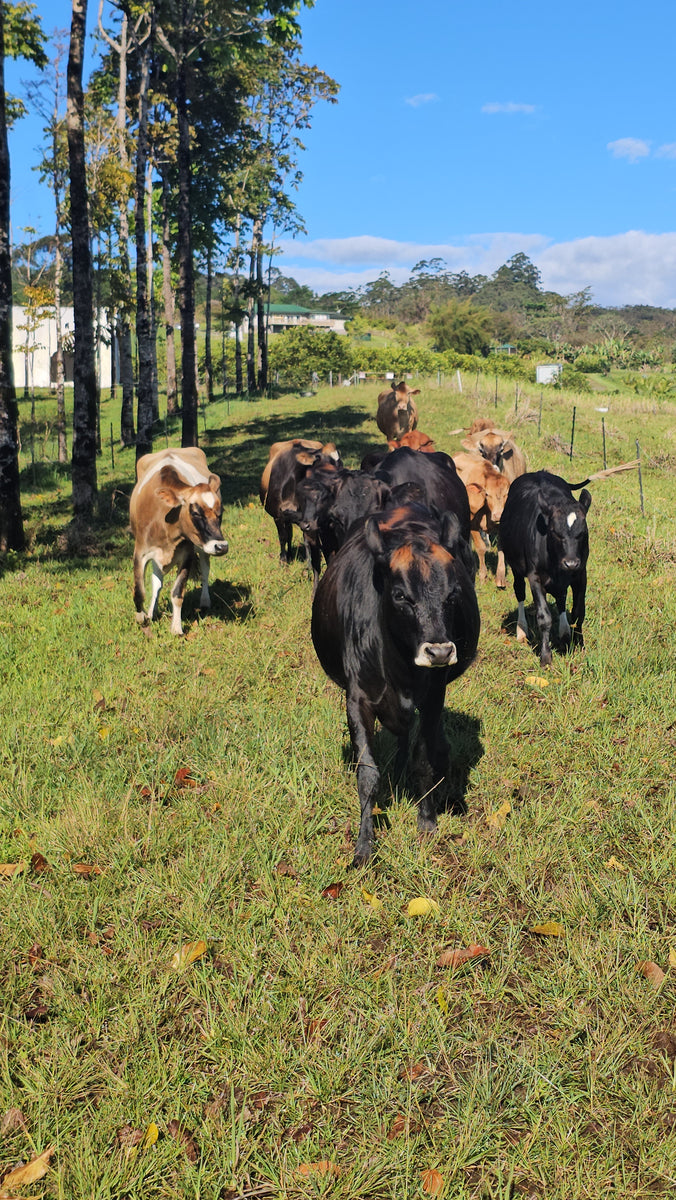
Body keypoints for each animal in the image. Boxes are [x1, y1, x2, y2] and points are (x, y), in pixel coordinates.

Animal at [130, 447, 228, 635]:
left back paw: (205, 601)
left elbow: (177, 593)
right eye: (196, 512)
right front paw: (142, 617)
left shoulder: (187, 555)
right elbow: (140, 591)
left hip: (203, 549)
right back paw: (151, 612)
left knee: (205, 571)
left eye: (220, 512)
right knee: (157, 583)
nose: (222, 546)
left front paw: (176, 627)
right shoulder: (141, 552)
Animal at [260, 438, 341, 567]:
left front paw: (310, 564)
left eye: (340, 463)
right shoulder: (277, 515)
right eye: (326, 466)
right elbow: (283, 537)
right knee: (288, 534)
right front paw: (283, 560)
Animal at [312, 502, 480, 866]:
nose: (439, 651)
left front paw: (427, 821)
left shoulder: (432, 697)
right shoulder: (357, 700)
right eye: (402, 596)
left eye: (452, 594)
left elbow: (424, 759)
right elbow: (368, 774)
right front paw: (364, 846)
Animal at [452, 451, 511, 586]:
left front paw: (500, 577)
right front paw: (482, 576)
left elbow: (501, 547)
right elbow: (481, 548)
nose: (498, 515)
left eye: (506, 494)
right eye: (487, 494)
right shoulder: (472, 524)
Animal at [499, 470, 591, 667]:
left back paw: (564, 631)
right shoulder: (534, 576)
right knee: (519, 591)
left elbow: (578, 611)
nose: (570, 563)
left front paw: (579, 644)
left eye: (582, 533)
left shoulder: (581, 573)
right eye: (555, 532)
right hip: (516, 567)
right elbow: (544, 617)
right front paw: (545, 656)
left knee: (561, 598)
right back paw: (522, 630)